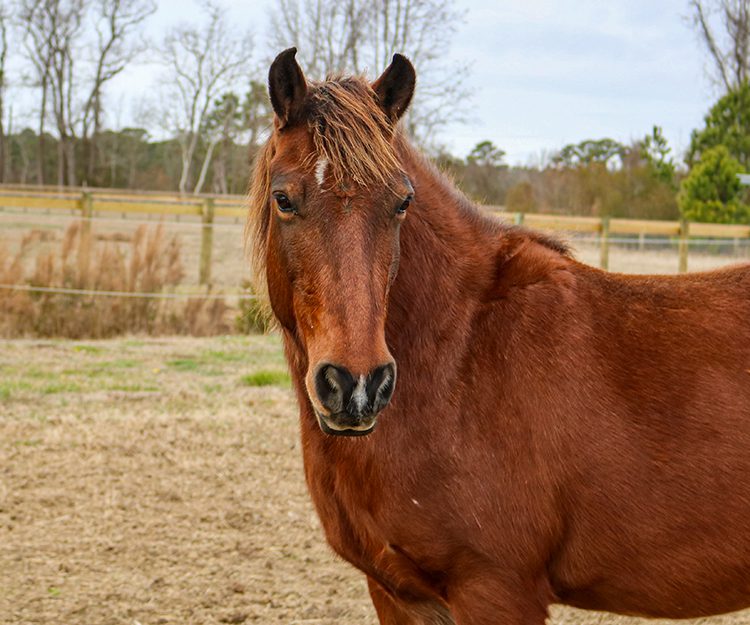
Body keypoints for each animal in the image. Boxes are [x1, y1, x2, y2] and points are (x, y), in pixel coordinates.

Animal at [247, 46, 750, 620]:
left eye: (401, 202)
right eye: (284, 199)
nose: (356, 386)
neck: (458, 355)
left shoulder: (496, 590)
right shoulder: (397, 594)